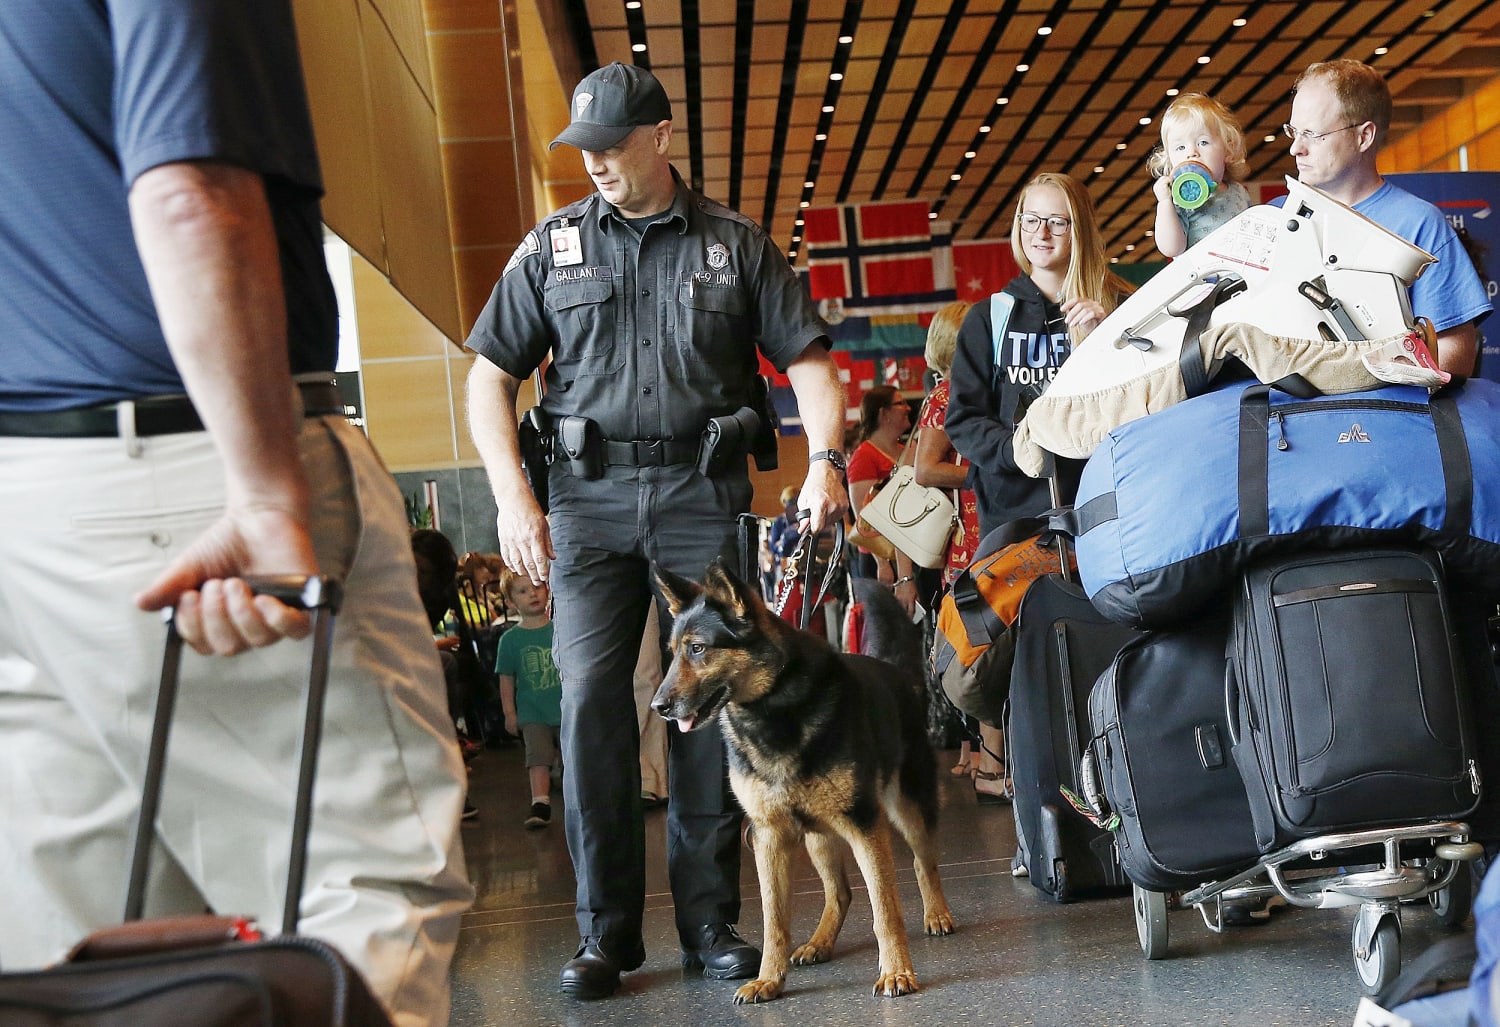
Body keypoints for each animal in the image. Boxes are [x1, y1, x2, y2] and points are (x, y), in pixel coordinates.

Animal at [654, 560, 954, 1001]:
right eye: (673, 653)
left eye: (698, 649)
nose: (658, 706)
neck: (770, 707)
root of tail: (893, 669)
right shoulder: (769, 837)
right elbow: (774, 920)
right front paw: (768, 978)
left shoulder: (865, 826)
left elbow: (885, 909)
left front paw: (897, 971)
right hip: (819, 835)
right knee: (840, 892)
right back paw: (819, 942)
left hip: (907, 808)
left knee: (923, 862)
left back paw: (936, 913)